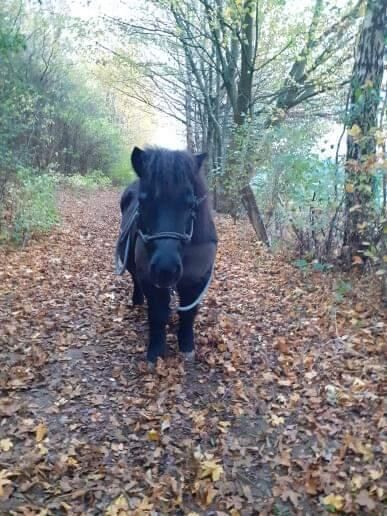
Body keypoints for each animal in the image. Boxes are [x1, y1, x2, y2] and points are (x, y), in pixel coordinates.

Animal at [115, 145, 218, 362]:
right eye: (143, 202)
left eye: (191, 204)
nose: (166, 269)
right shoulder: (149, 279)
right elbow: (158, 313)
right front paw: (156, 351)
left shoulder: (198, 279)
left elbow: (189, 312)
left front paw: (187, 347)